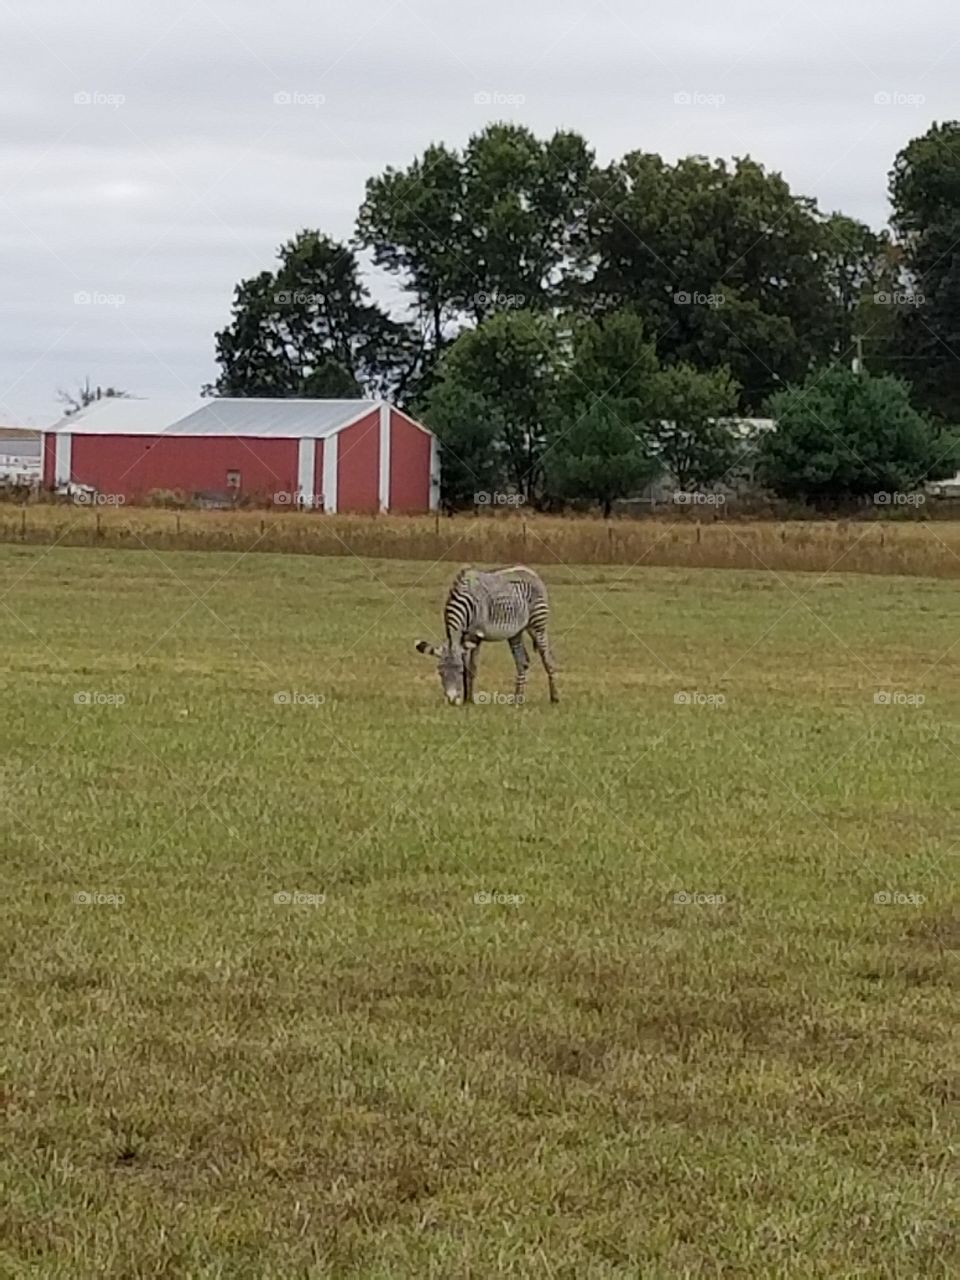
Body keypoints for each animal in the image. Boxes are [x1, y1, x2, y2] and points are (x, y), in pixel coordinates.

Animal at [416, 565, 559, 706]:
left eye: (459, 671)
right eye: (440, 672)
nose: (451, 700)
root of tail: (530, 571)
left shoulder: (475, 635)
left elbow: (472, 667)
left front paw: (470, 700)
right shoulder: (464, 639)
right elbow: (467, 665)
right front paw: (465, 699)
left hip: (538, 625)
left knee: (547, 659)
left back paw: (554, 698)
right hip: (515, 632)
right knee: (522, 662)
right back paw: (517, 700)